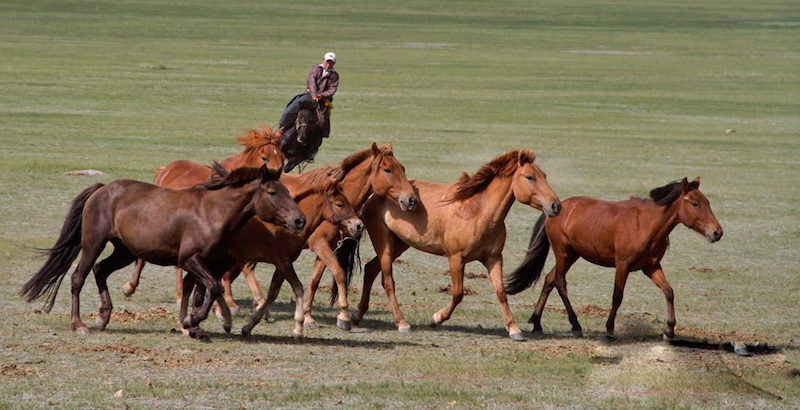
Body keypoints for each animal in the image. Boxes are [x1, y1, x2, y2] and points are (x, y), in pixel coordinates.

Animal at [19, 164, 306, 342]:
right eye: (273, 192)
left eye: (287, 191)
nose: (299, 221)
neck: (213, 212)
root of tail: (102, 189)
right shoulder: (189, 260)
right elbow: (213, 288)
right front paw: (192, 321)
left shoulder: (207, 262)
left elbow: (202, 293)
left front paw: (196, 328)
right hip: (93, 243)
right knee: (78, 278)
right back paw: (79, 325)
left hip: (125, 251)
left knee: (100, 270)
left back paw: (103, 316)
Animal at [220, 143, 418, 332]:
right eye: (388, 170)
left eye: (402, 168)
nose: (411, 199)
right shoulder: (320, 245)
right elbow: (339, 274)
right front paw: (343, 317)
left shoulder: (327, 246)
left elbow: (314, 281)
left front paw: (307, 316)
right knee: (244, 268)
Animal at [350, 149, 564, 342]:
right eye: (530, 177)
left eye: (544, 175)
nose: (556, 206)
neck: (477, 211)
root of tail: (373, 195)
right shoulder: (456, 258)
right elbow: (458, 293)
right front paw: (436, 318)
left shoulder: (494, 258)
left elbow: (501, 292)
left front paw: (514, 329)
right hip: (384, 243)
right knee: (387, 281)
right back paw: (402, 323)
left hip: (400, 244)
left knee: (370, 269)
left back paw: (357, 315)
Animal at [506, 176, 724, 340]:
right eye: (695, 203)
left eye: (708, 202)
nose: (717, 232)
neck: (645, 223)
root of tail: (555, 208)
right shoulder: (623, 264)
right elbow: (617, 296)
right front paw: (610, 328)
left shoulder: (651, 266)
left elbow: (669, 292)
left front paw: (669, 330)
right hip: (563, 252)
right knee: (560, 282)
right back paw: (575, 325)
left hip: (572, 255)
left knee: (550, 279)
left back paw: (537, 322)